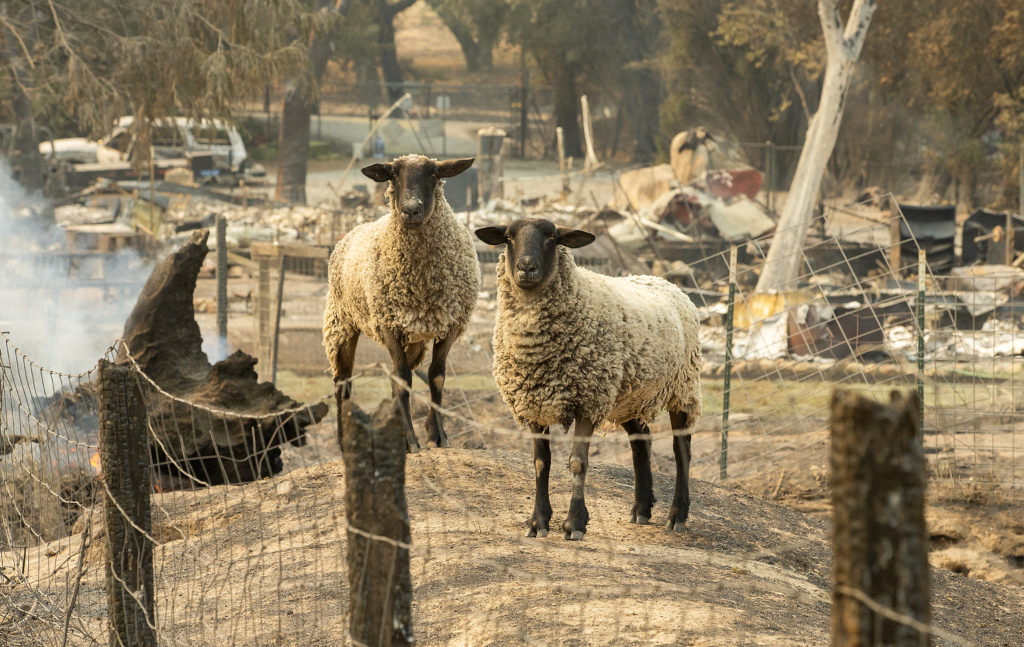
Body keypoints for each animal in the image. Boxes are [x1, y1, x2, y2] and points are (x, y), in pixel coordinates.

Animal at [323, 154, 479, 451]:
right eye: (393, 175)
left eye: (434, 174)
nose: (410, 210)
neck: (421, 282)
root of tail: (352, 231)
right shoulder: (388, 324)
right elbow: (404, 380)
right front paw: (412, 442)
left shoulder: (450, 325)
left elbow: (436, 376)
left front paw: (438, 436)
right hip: (342, 323)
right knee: (344, 382)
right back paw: (343, 441)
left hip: (414, 339)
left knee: (395, 377)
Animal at [475, 218, 702, 540]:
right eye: (508, 237)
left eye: (553, 237)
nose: (526, 268)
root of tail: (666, 282)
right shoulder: (533, 404)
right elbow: (540, 463)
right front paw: (538, 522)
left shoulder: (588, 401)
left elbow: (577, 463)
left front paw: (574, 523)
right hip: (630, 395)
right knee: (641, 442)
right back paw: (641, 509)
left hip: (683, 386)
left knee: (681, 449)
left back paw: (677, 515)